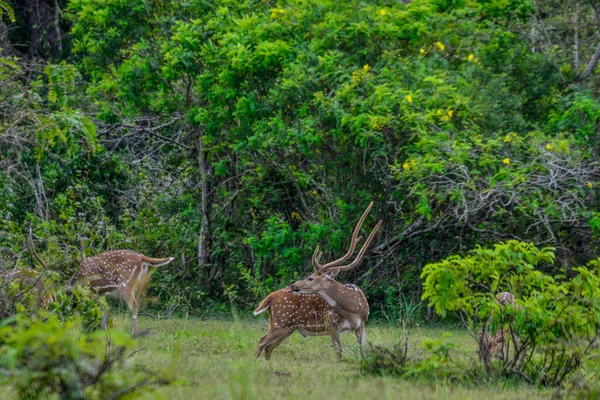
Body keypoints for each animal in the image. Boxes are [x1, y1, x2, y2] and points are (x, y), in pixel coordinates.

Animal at [253, 202, 380, 360]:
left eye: (310, 278)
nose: (293, 285)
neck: (353, 308)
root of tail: (271, 297)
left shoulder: (361, 325)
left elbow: (363, 352)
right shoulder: (331, 324)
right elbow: (339, 354)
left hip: (288, 327)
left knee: (268, 347)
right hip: (281, 322)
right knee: (261, 341)